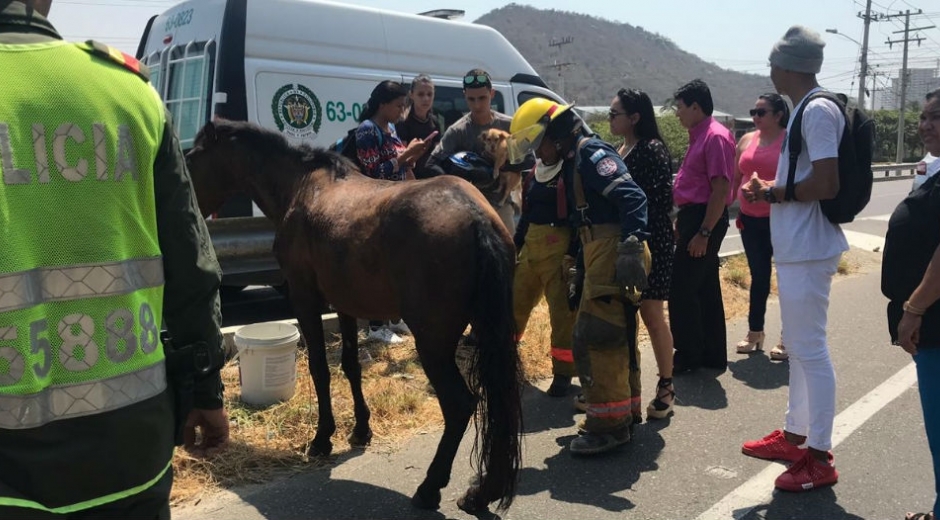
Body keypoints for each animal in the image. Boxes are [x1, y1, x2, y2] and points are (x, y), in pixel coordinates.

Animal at [184, 121, 520, 512]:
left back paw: (430, 487)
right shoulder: (344, 303)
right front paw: (361, 430)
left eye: (192, 157)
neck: (302, 186)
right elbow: (350, 365)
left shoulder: (305, 298)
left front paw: (322, 438)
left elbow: (319, 368)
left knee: (460, 405)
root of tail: (477, 218)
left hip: (433, 342)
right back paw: (482, 492)